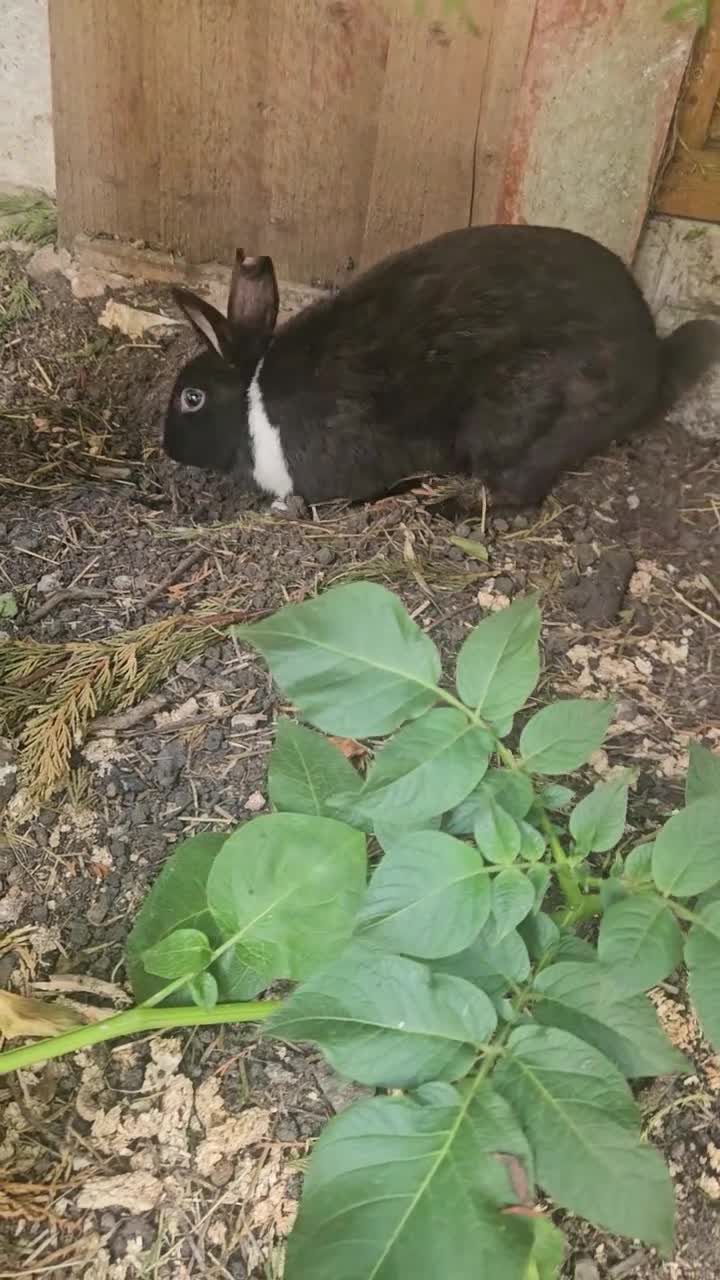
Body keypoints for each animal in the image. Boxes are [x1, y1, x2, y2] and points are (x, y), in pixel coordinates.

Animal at [163, 225, 720, 509]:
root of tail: (649, 369)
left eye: (192, 398)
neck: (253, 401)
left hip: (518, 416)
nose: (168, 449)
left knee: (520, 487)